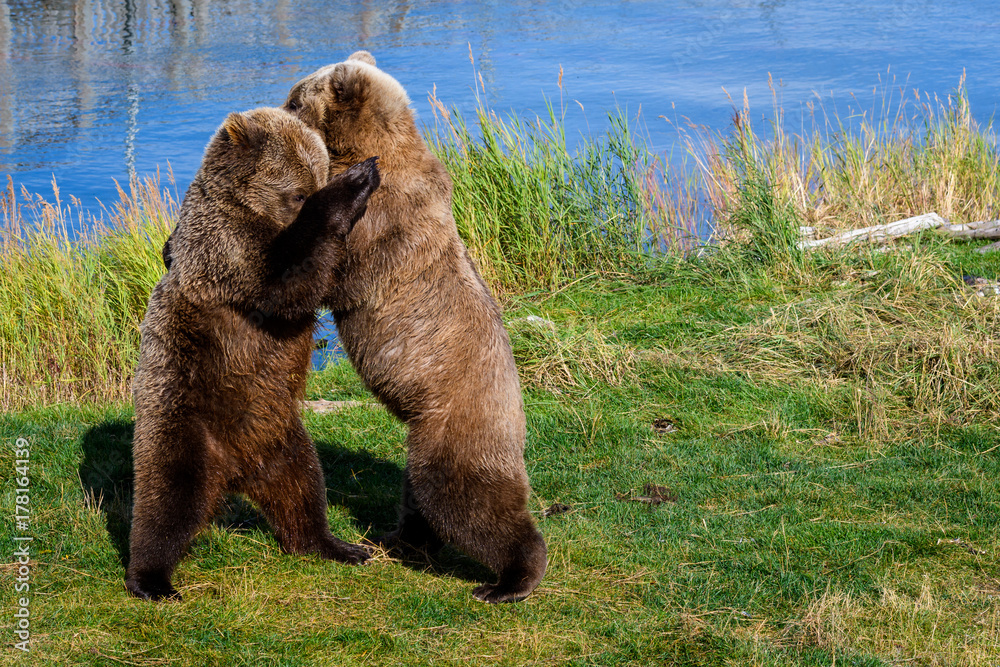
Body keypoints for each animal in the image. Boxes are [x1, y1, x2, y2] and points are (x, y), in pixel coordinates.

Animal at [127, 106, 380, 601]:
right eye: (297, 191)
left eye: (315, 175)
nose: (319, 187)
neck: (253, 212)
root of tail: (235, 470)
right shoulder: (228, 247)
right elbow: (281, 281)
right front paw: (355, 183)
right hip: (182, 418)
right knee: (165, 499)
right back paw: (150, 580)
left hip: (281, 434)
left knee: (304, 489)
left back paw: (336, 545)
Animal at [283, 51, 547, 603]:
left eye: (298, 96)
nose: (282, 106)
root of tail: (517, 418)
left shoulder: (380, 223)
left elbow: (335, 271)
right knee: (419, 504)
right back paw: (397, 539)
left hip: (454, 427)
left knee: (464, 502)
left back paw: (507, 581)